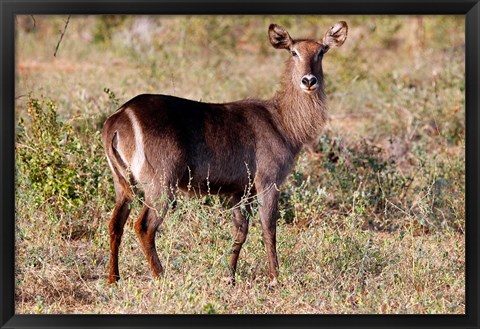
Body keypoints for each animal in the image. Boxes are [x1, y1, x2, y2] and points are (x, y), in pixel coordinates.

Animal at [103, 21, 346, 282]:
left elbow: (241, 231)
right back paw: (161, 277)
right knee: (144, 226)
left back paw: (114, 279)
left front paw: (230, 276)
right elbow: (269, 228)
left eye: (321, 51)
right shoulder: (269, 181)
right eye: (294, 52)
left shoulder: (238, 191)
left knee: (115, 223)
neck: (282, 122)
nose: (309, 80)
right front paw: (275, 278)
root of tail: (118, 118)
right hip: (161, 184)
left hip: (122, 183)